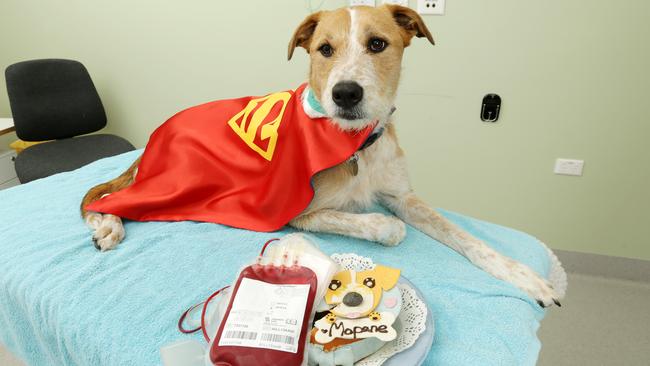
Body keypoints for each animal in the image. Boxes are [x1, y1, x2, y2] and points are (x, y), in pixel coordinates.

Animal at [79, 4, 556, 308]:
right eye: (324, 49)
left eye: (378, 44)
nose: (345, 93)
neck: (356, 144)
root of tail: (159, 132)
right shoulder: (301, 213)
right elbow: (383, 224)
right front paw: (384, 227)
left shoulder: (404, 196)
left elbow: (467, 238)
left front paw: (527, 277)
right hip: (176, 182)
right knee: (106, 199)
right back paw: (108, 224)